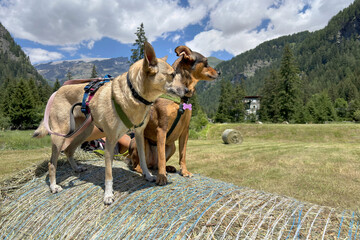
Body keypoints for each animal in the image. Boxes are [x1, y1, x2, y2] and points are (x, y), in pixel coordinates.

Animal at [33, 42, 188, 204]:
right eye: (172, 75)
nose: (187, 91)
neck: (134, 95)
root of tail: (57, 90)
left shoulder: (139, 135)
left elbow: (143, 159)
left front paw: (148, 175)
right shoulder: (111, 140)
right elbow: (108, 173)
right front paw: (108, 194)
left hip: (85, 131)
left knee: (69, 150)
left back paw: (76, 169)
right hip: (60, 134)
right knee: (52, 163)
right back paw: (53, 186)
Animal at [129, 46, 219, 186]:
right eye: (206, 62)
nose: (219, 72)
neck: (181, 98)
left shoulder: (185, 131)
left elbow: (183, 154)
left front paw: (184, 171)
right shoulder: (162, 129)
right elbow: (161, 156)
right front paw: (161, 178)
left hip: (172, 146)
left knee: (156, 164)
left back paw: (168, 168)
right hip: (140, 143)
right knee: (140, 164)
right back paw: (146, 171)